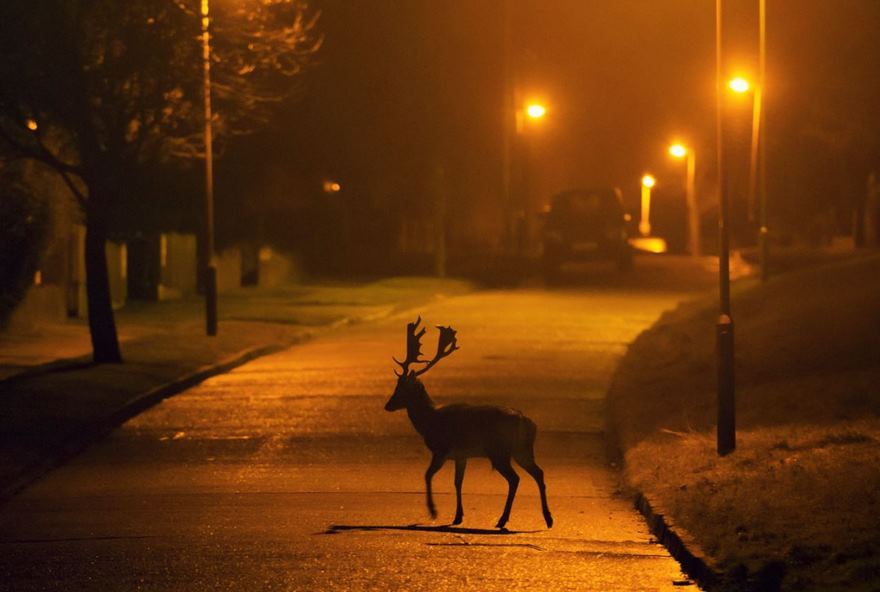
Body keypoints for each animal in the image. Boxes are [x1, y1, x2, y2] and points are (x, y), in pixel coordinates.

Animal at [384, 316, 552, 528]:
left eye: (402, 388)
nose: (387, 405)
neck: (430, 422)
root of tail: (526, 422)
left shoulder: (441, 449)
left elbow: (427, 475)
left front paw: (433, 511)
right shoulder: (461, 455)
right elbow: (458, 482)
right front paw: (458, 516)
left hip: (499, 451)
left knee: (515, 479)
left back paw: (502, 520)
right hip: (522, 450)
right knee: (538, 473)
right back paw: (548, 519)